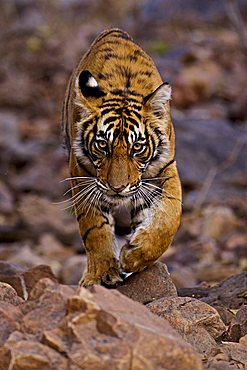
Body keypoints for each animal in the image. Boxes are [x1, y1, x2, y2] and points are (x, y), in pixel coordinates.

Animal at [61, 28, 181, 286]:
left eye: (137, 147)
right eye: (102, 145)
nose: (117, 188)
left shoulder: (164, 170)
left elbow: (168, 218)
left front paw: (134, 256)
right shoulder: (82, 176)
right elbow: (95, 228)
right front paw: (101, 274)